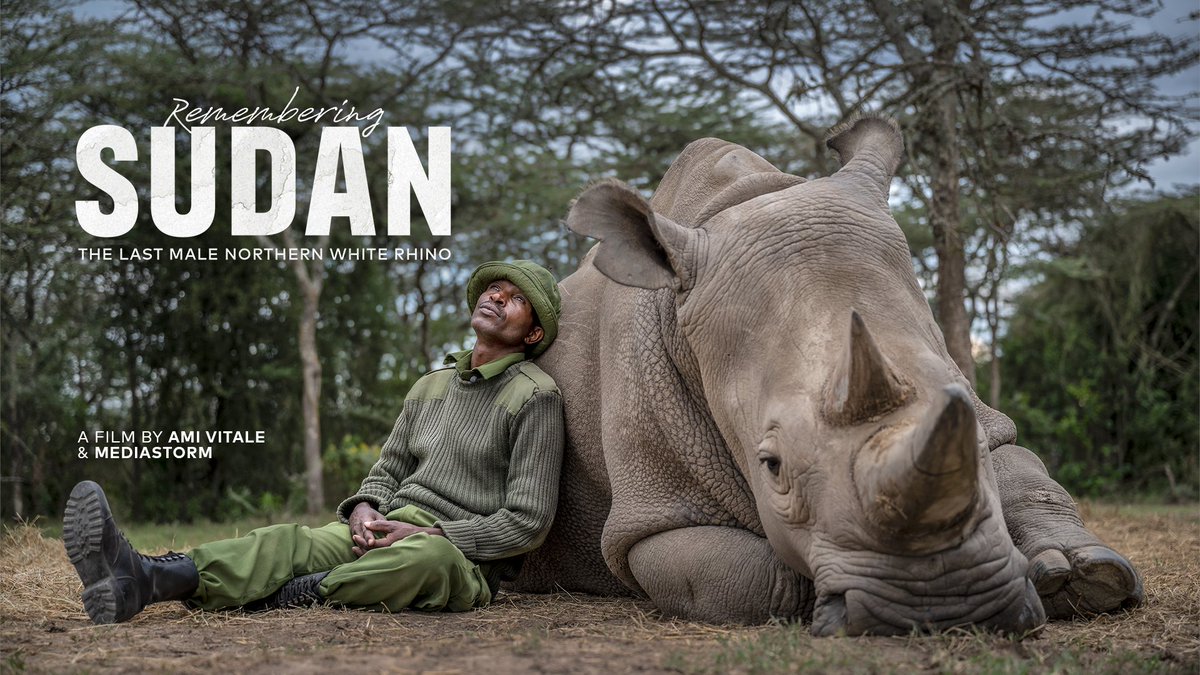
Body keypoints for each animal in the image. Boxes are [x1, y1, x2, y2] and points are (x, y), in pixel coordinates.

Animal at [513, 117, 1143, 636]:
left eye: (960, 405)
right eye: (771, 466)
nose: (945, 606)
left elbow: (1024, 470)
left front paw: (1084, 578)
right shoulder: (653, 515)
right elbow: (749, 575)